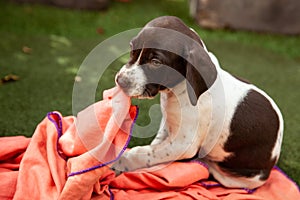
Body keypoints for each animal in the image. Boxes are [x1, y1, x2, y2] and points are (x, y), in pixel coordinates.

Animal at [113, 16, 284, 189]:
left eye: (156, 62)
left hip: (238, 177)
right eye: (132, 49)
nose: (120, 81)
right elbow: (154, 146)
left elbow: (144, 153)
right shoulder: (168, 125)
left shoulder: (183, 144)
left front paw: (120, 161)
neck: (176, 91)